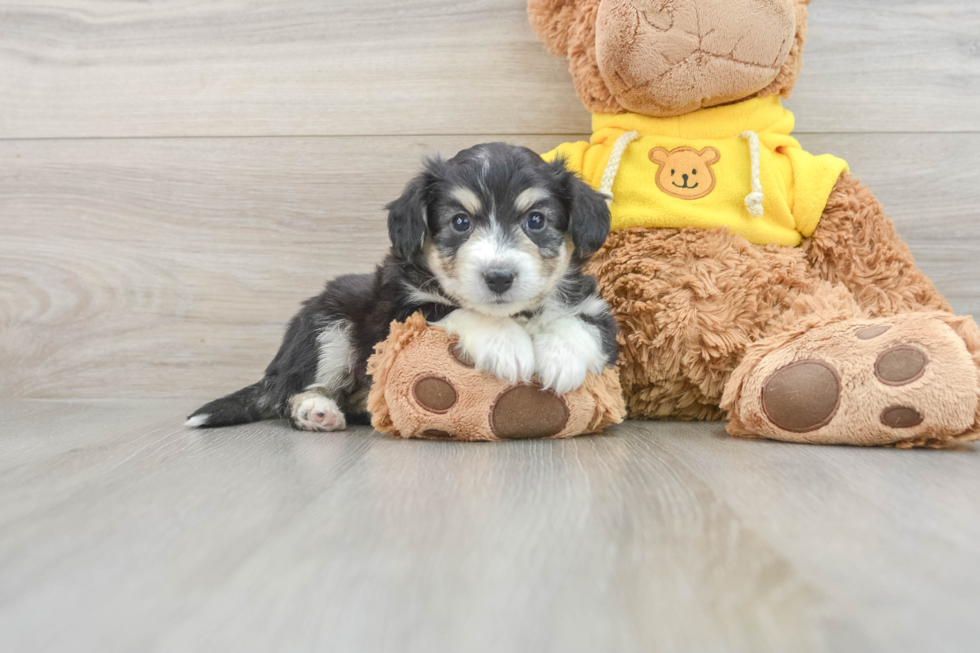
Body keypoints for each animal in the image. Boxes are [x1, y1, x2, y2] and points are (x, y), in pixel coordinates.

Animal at [187, 141, 616, 432]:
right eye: (460, 222)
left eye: (536, 220)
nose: (498, 277)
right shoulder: (399, 311)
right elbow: (454, 308)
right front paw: (506, 344)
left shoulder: (597, 312)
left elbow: (575, 322)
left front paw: (562, 360)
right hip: (326, 327)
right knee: (290, 395)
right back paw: (316, 412)